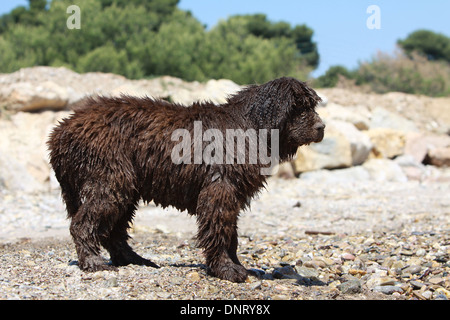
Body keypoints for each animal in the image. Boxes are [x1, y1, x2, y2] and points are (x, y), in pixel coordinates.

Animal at [48, 77, 324, 282]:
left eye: (311, 106)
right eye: (299, 107)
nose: (321, 127)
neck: (250, 125)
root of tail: (61, 131)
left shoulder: (233, 192)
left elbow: (230, 233)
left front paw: (236, 265)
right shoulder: (219, 188)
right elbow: (218, 230)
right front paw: (226, 269)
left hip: (124, 185)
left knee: (114, 231)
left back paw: (136, 260)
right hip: (110, 177)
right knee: (83, 223)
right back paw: (93, 262)